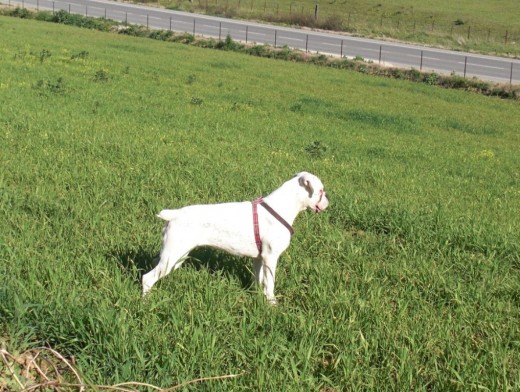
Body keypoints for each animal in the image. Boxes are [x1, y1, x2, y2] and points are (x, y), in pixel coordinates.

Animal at [142, 172, 330, 304]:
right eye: (321, 191)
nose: (328, 200)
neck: (280, 207)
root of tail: (175, 214)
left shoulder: (259, 259)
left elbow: (259, 281)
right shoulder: (270, 258)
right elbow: (270, 284)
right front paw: (272, 305)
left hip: (175, 257)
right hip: (173, 257)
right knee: (147, 279)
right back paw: (146, 304)